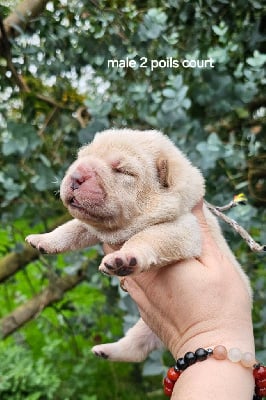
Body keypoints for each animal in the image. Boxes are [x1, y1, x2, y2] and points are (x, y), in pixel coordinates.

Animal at [26, 130, 250, 362]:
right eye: (80, 157)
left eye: (123, 171)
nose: (76, 175)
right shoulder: (93, 226)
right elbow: (72, 228)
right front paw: (44, 239)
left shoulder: (185, 228)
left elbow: (146, 237)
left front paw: (124, 258)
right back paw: (107, 350)